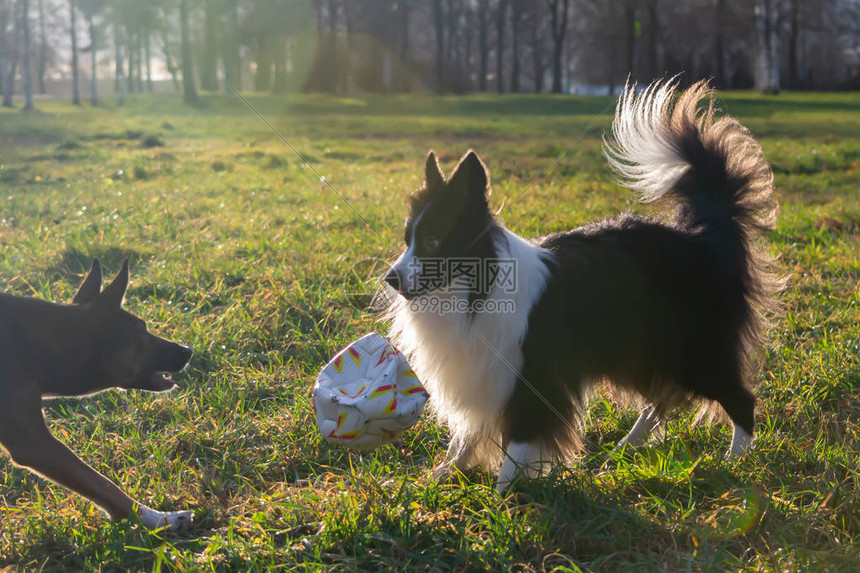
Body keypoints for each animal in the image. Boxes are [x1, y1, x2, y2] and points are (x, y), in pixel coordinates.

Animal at [0, 260, 194, 532]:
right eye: (142, 331)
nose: (188, 351)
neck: (40, 344)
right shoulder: (33, 442)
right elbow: (104, 485)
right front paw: (159, 518)